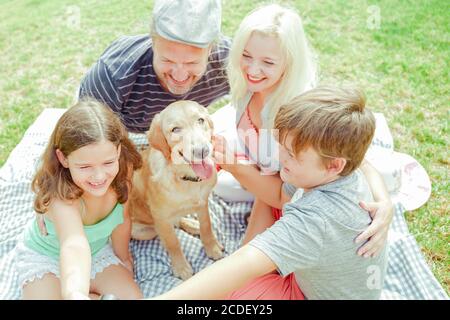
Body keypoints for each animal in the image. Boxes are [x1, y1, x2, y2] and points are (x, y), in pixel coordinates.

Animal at [128, 100, 223, 280]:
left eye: (201, 120)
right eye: (175, 130)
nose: (202, 151)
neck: (185, 178)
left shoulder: (203, 203)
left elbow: (206, 226)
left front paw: (212, 247)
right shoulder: (160, 216)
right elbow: (173, 242)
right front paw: (180, 266)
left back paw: (192, 224)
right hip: (143, 231)